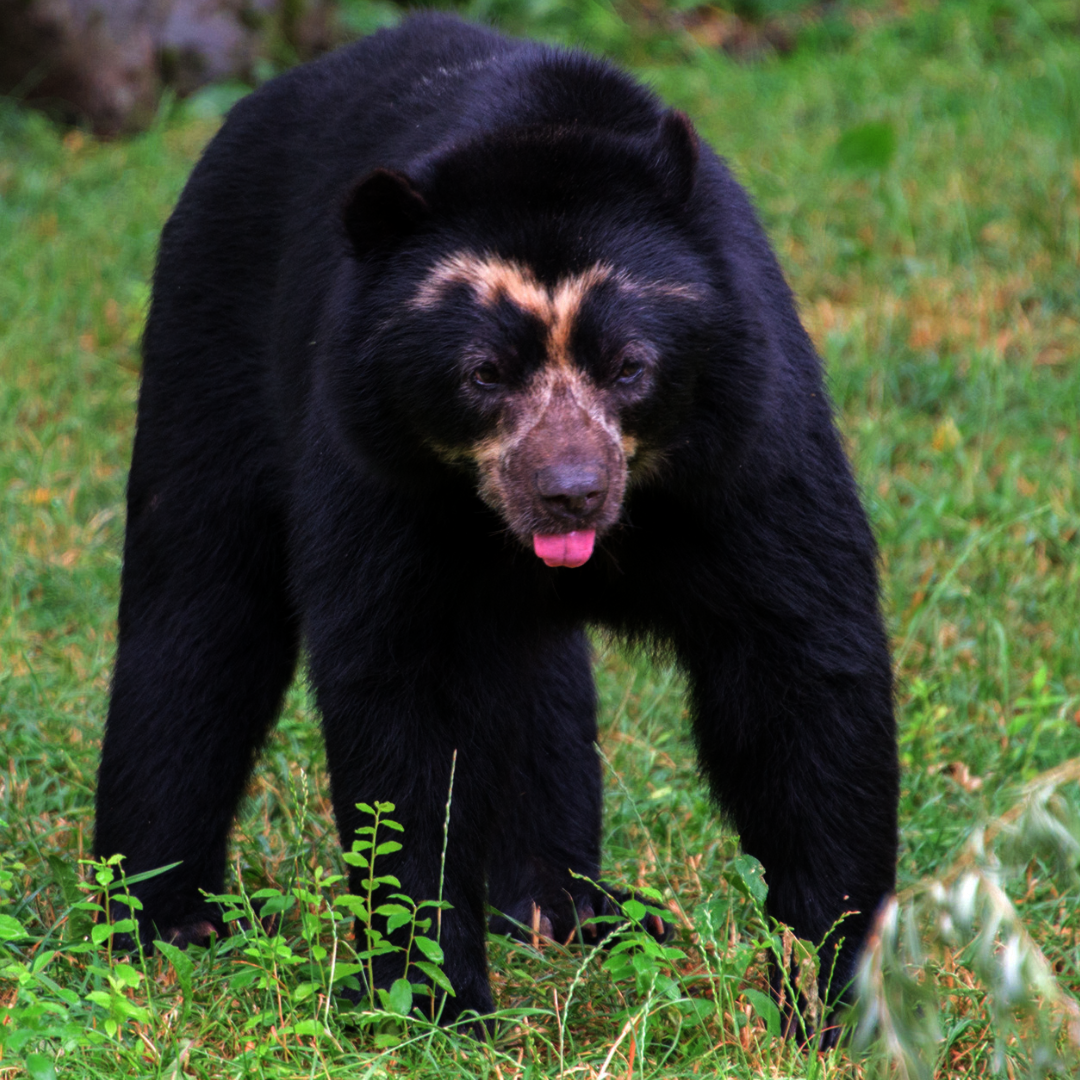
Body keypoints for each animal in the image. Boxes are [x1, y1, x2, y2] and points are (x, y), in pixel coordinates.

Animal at [94, 12, 898, 1035]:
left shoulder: (752, 442)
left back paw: (567, 910)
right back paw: (158, 921)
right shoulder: (375, 466)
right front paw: (432, 1002)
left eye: (630, 365)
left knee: (534, 686)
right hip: (207, 340)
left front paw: (829, 993)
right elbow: (400, 702)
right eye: (482, 373)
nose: (569, 492)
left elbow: (801, 667)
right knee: (197, 611)